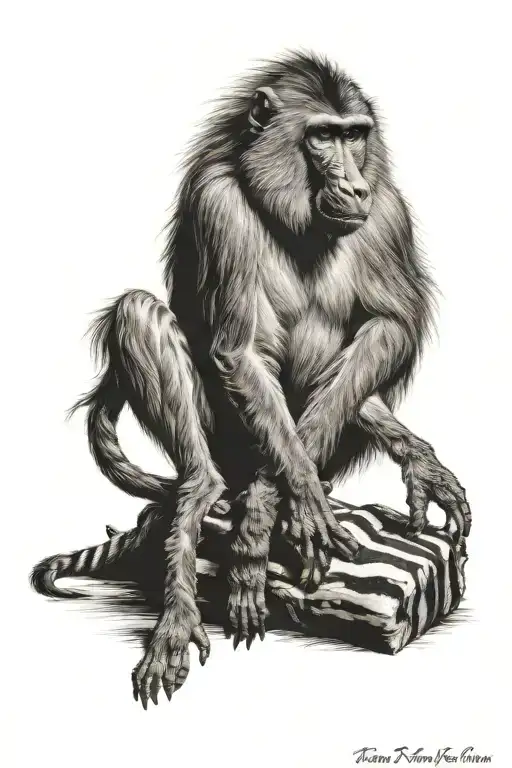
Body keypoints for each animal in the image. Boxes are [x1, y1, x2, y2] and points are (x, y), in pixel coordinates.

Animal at [34, 51, 471, 709]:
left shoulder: (387, 210)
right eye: (322, 136)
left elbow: (388, 326)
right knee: (138, 312)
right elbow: (238, 350)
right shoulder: (219, 204)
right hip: (223, 441)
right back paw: (202, 498)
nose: (353, 183)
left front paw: (272, 508)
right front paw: (290, 502)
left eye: (355, 135)